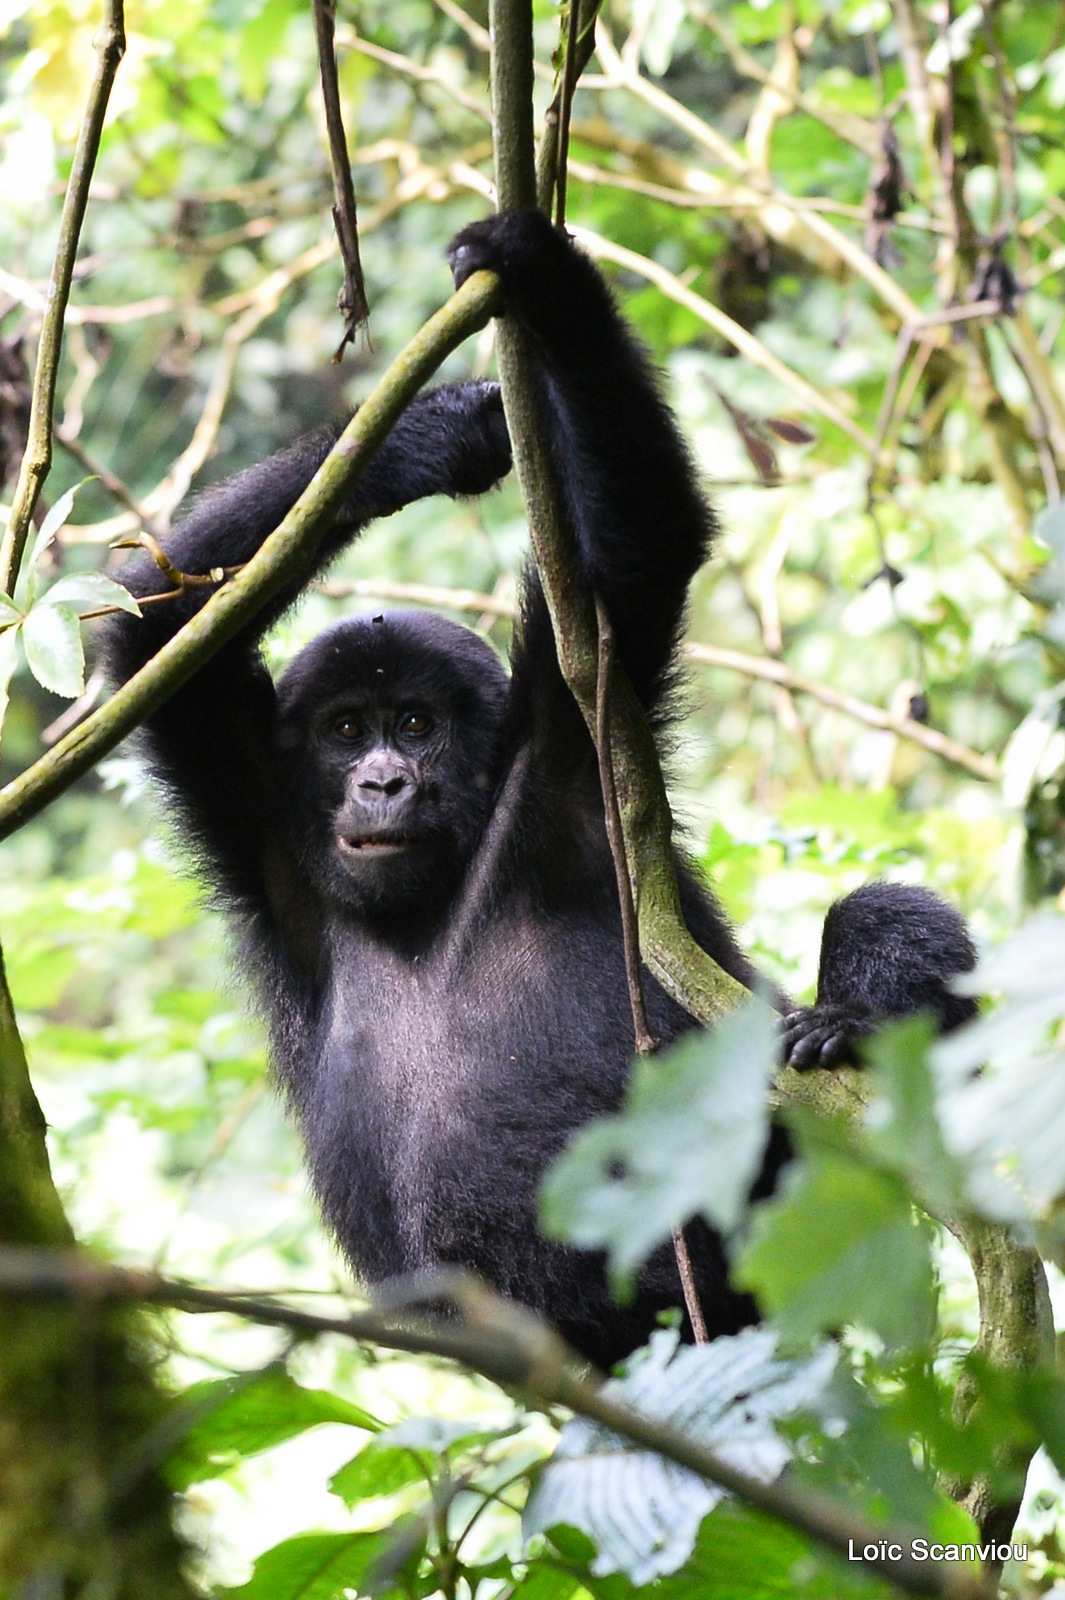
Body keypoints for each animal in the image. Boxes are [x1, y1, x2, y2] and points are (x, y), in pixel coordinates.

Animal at [103, 206, 972, 1369]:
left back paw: (853, 1023)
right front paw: (423, 438)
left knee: (875, 920)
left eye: (415, 725)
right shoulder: (256, 808)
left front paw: (544, 274)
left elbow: (631, 560)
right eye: (345, 730)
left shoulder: (568, 765)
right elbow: (155, 637)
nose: (381, 781)